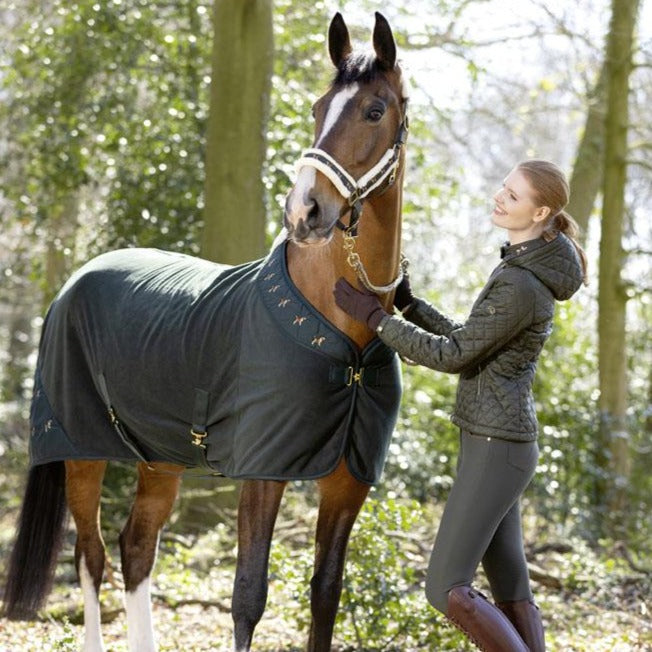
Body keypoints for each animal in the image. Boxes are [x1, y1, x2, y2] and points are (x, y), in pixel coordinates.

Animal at [1, 11, 408, 652]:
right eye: (317, 107)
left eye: (374, 110)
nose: (305, 211)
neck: (346, 335)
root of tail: (74, 281)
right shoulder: (262, 472)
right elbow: (248, 596)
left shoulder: (348, 484)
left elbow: (325, 594)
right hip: (81, 450)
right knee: (90, 555)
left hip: (157, 459)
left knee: (136, 547)